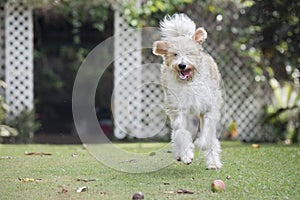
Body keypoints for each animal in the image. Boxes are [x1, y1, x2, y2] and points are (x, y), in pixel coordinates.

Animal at [154, 13, 221, 170]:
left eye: (190, 53)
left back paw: (213, 162)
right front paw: (185, 156)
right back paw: (180, 153)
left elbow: (207, 134)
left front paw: (201, 144)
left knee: (211, 139)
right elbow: (182, 134)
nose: (182, 65)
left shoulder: (208, 109)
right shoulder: (180, 111)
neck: (189, 83)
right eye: (175, 54)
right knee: (177, 134)